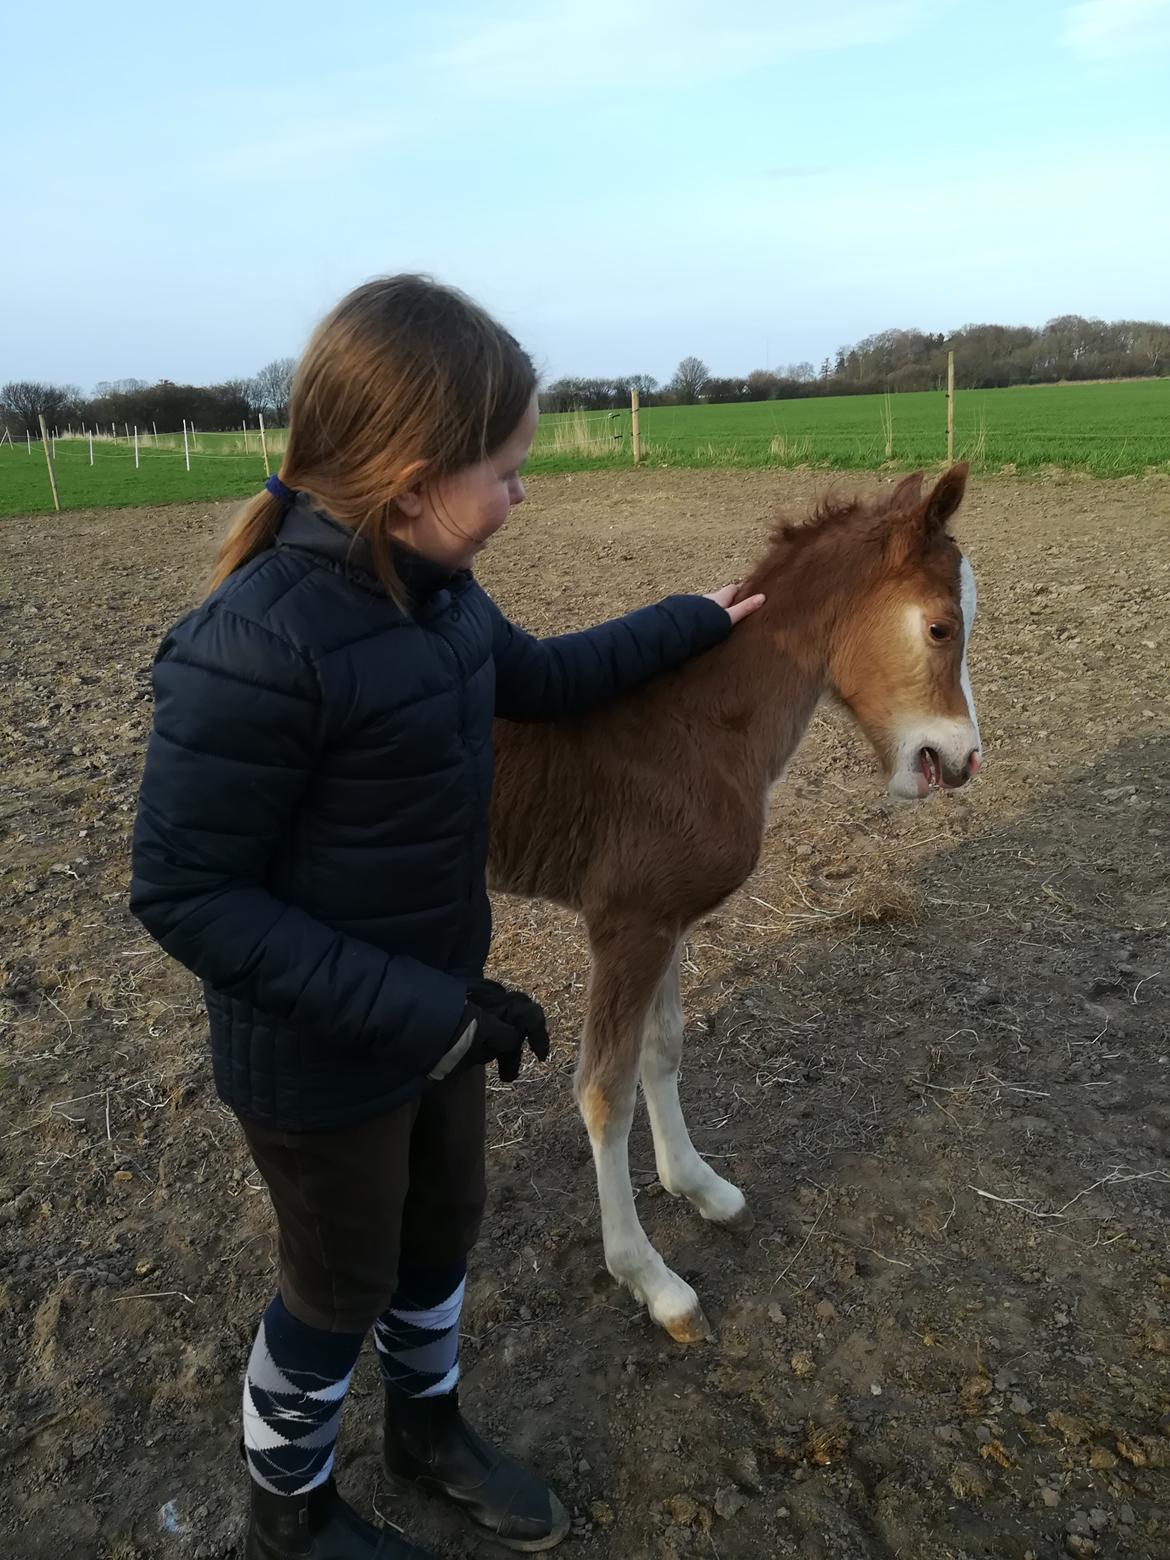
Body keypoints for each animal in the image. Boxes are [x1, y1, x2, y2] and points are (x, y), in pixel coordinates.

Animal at [489, 461, 985, 1341]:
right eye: (938, 628)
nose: (964, 759)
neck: (699, 724)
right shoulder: (625, 925)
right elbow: (603, 1091)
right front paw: (650, 1279)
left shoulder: (666, 922)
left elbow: (663, 1050)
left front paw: (698, 1186)